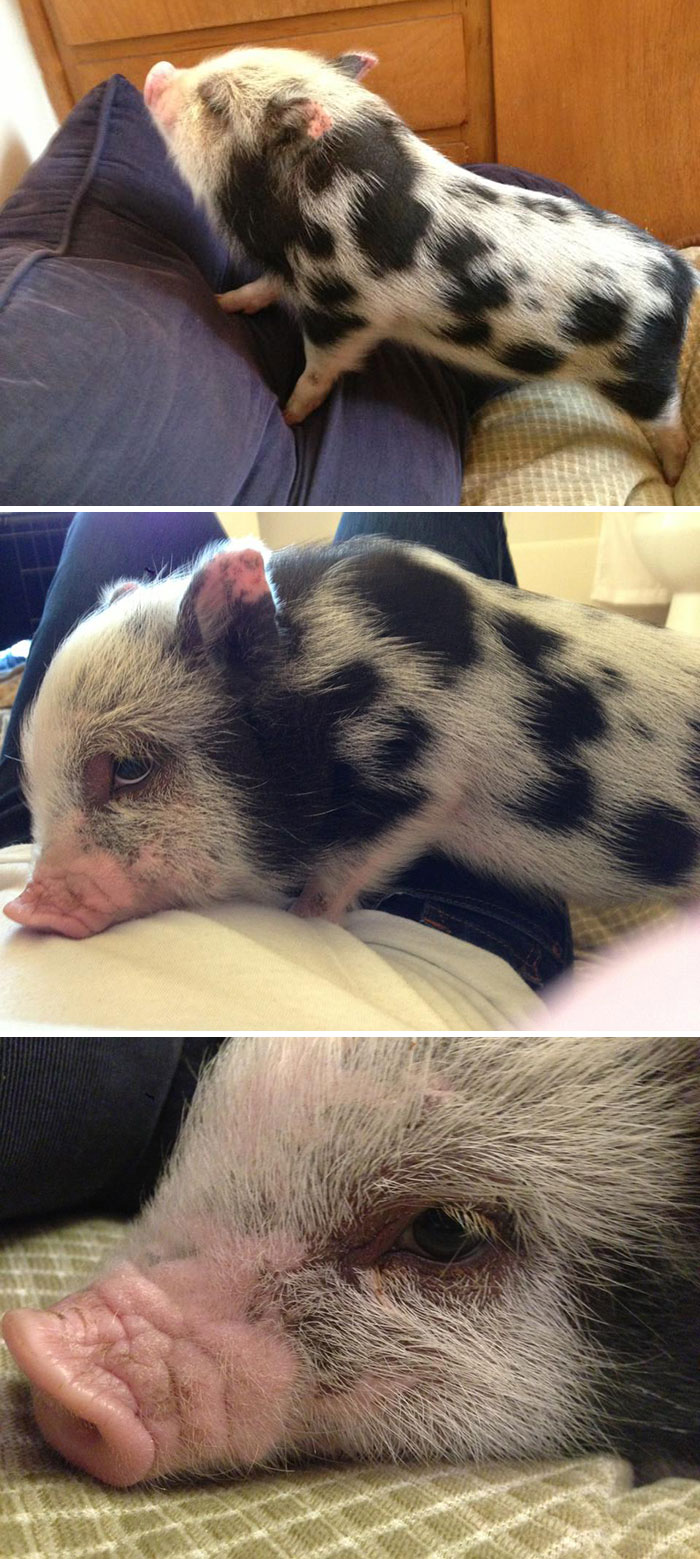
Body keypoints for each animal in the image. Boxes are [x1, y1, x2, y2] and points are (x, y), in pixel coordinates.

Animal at [142, 47, 698, 481]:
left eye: (216, 104)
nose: (158, 69)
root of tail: (679, 274)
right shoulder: (288, 273)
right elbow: (262, 288)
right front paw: (224, 302)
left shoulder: (344, 312)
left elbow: (319, 369)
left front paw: (291, 414)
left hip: (640, 374)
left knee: (671, 421)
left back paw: (672, 475)